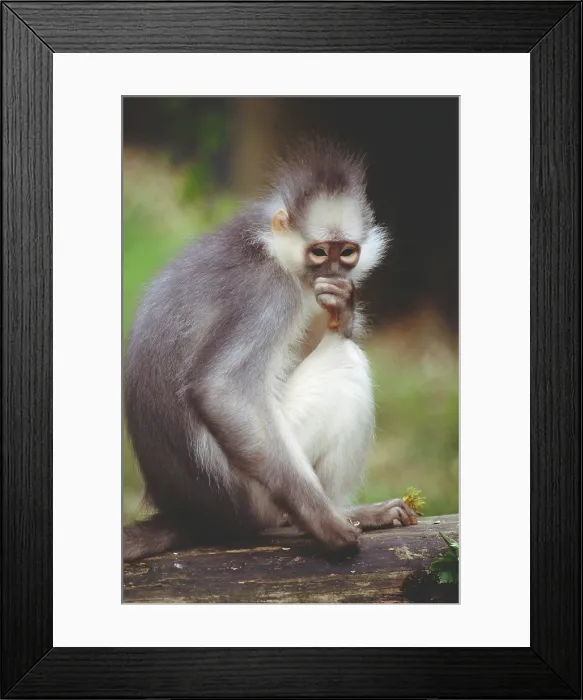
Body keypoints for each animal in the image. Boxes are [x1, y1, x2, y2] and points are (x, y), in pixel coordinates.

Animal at [123, 140, 417, 562]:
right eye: (319, 252)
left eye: (346, 252)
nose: (334, 271)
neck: (268, 249)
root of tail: (191, 515)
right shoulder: (271, 291)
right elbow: (222, 390)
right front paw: (325, 524)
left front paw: (344, 306)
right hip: (258, 497)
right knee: (346, 365)